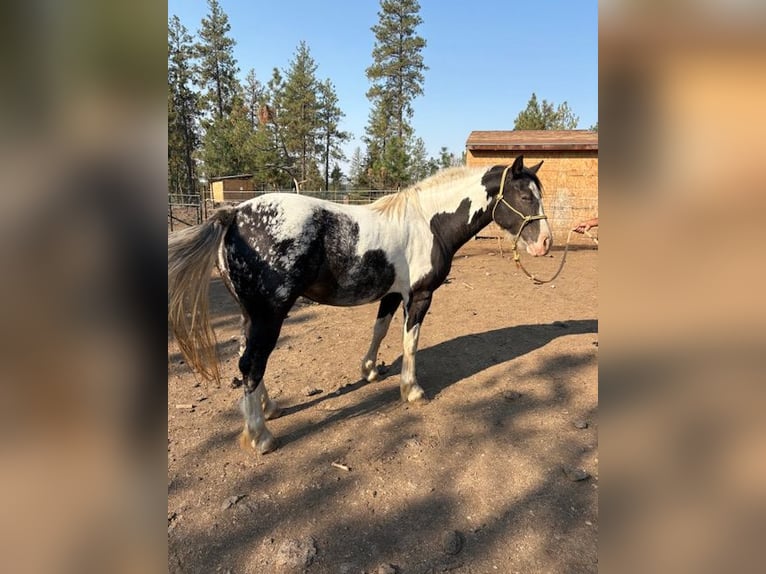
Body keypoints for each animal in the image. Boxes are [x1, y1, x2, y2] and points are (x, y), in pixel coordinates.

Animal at [168, 155, 552, 454]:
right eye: (523, 195)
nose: (545, 243)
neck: (429, 222)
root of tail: (233, 214)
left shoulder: (393, 294)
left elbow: (379, 330)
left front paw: (369, 370)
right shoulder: (419, 296)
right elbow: (410, 342)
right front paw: (411, 390)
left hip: (252, 315)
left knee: (247, 359)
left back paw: (269, 408)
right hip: (269, 315)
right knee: (252, 363)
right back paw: (260, 436)